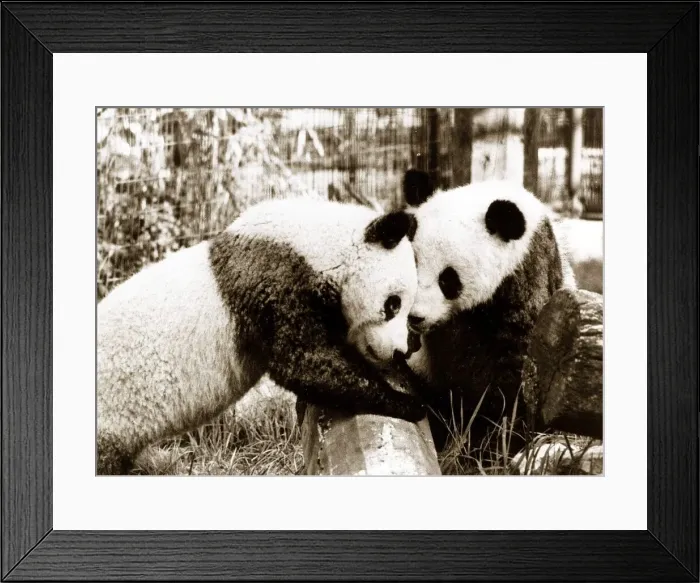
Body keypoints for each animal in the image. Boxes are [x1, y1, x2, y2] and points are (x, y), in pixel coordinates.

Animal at [97, 197, 425, 475]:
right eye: (393, 304)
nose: (399, 351)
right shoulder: (275, 281)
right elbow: (302, 360)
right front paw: (410, 403)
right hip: (112, 419)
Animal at [401, 169, 577, 457]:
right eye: (411, 265)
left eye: (447, 279)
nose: (415, 317)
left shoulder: (525, 280)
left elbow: (513, 378)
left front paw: (489, 445)